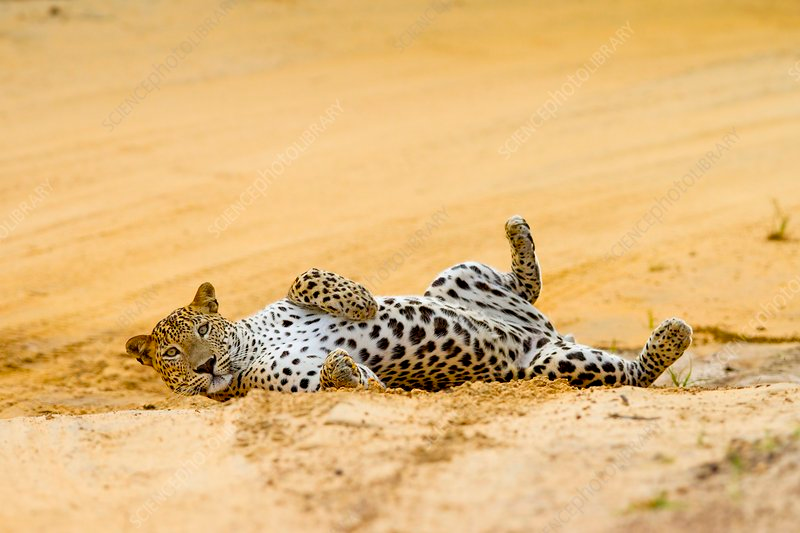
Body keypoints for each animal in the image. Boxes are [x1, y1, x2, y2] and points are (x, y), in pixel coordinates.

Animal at [125, 215, 692, 399]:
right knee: (636, 374)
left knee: (526, 287)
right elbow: (354, 381)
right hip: (552, 365)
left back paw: (518, 232)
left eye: (203, 330)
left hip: (458, 275)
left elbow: (304, 274)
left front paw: (361, 303)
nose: (206, 365)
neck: (249, 347)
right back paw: (673, 332)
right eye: (171, 354)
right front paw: (343, 366)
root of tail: (547, 335)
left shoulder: (287, 295)